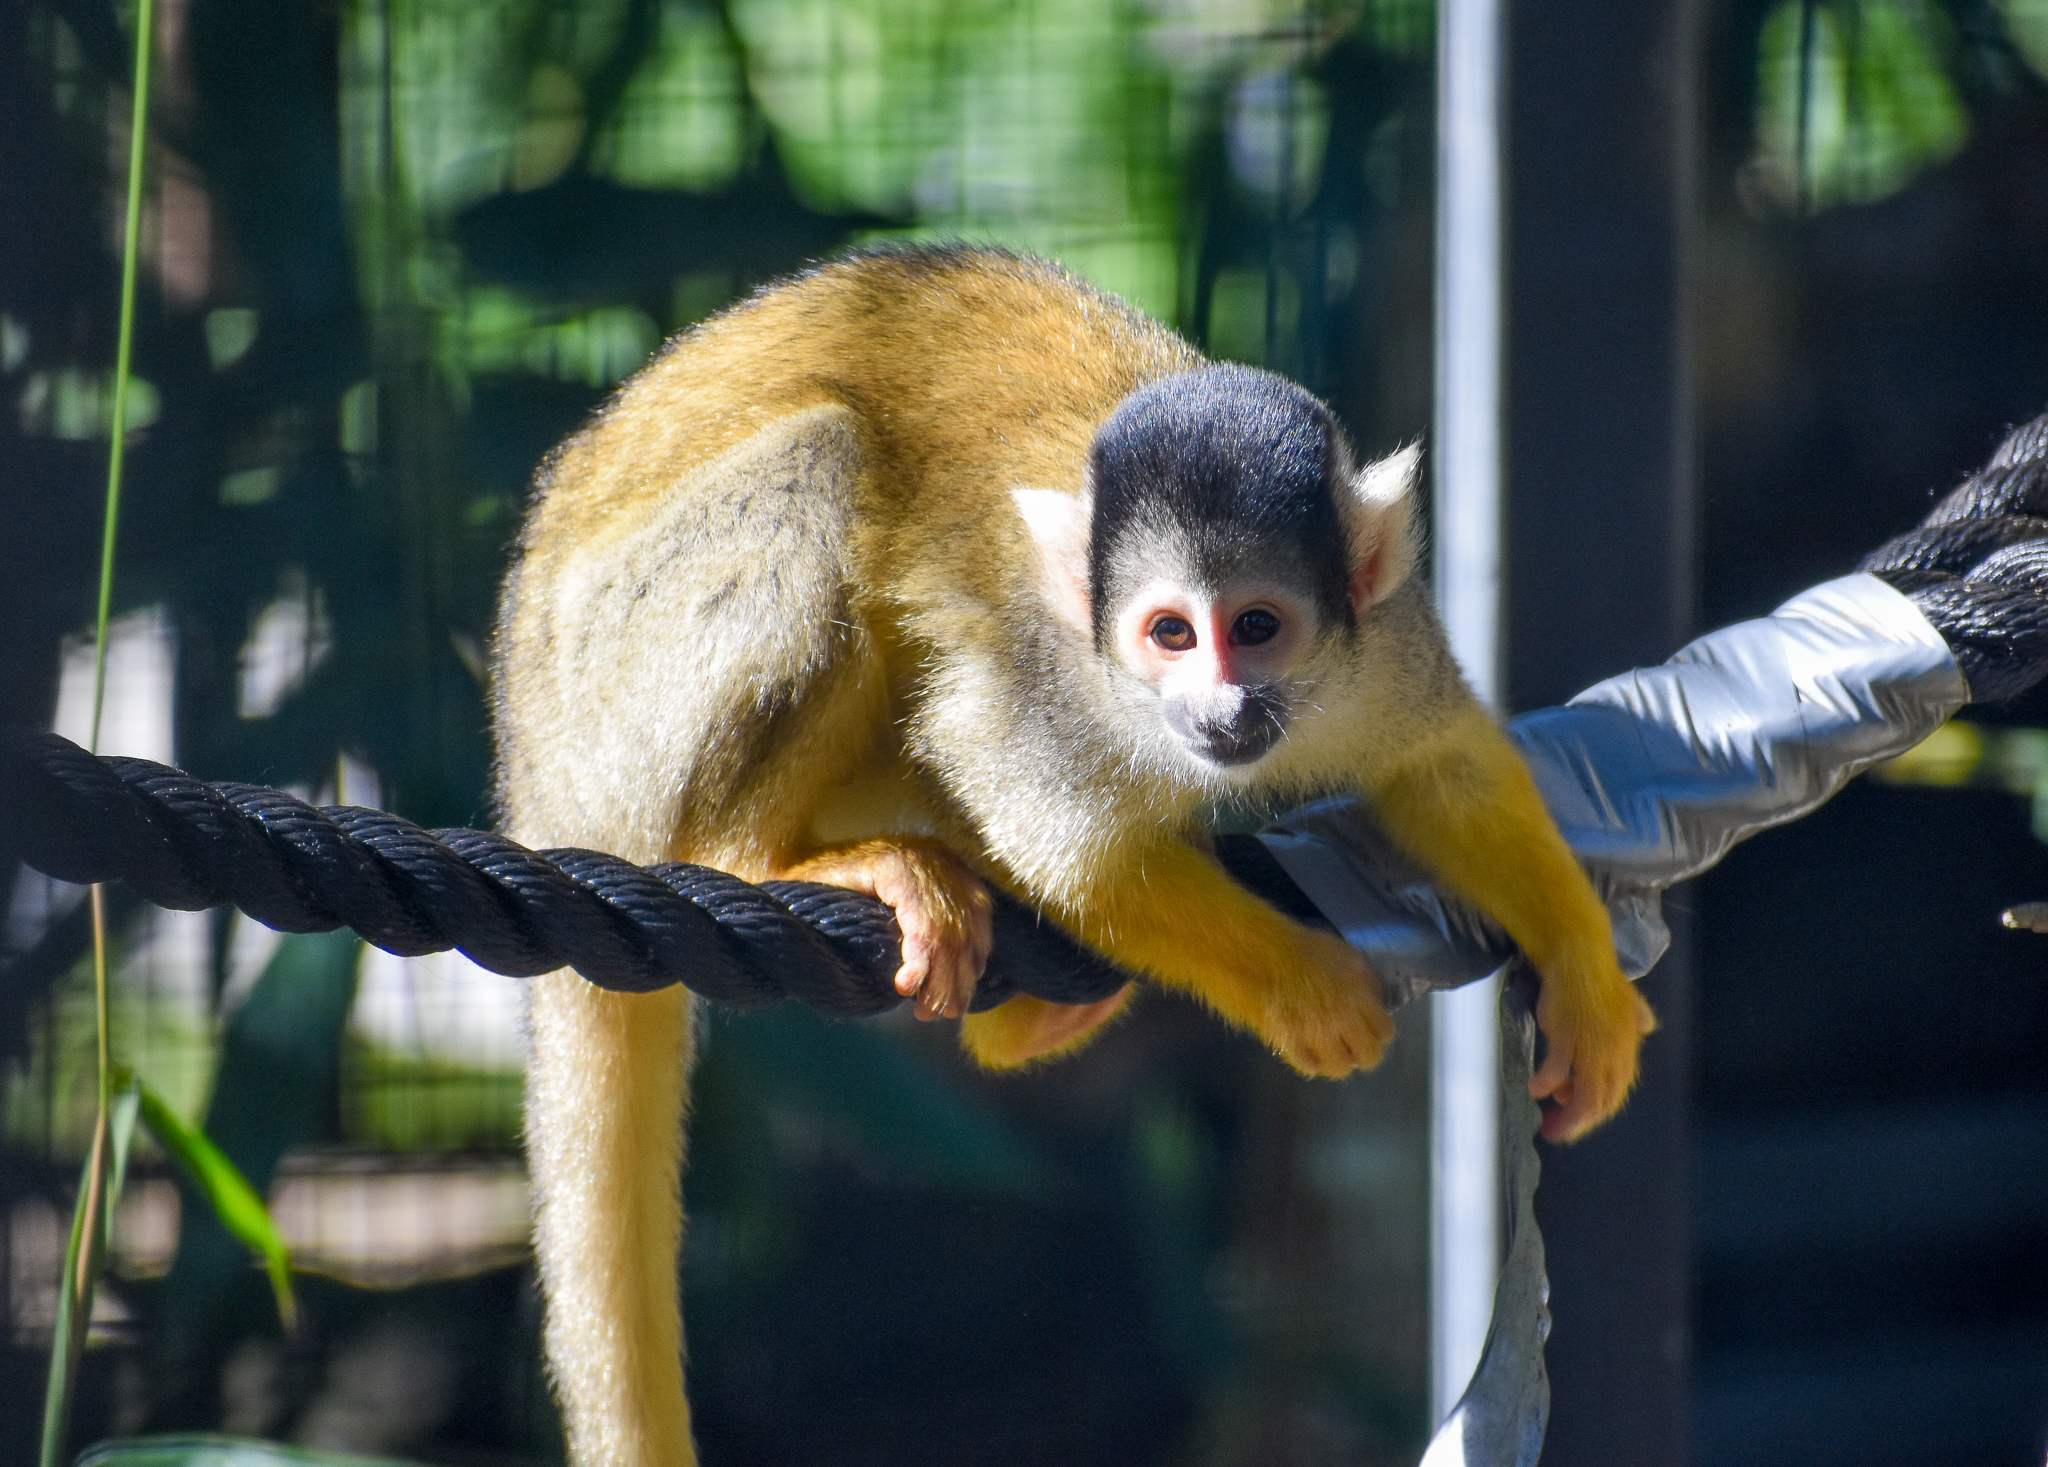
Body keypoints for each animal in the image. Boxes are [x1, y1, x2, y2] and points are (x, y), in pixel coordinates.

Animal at [492, 244, 1655, 1466]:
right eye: (1168, 634)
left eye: (1255, 627)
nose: (1219, 712)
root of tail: (532, 766)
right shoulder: (1037, 678)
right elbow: (1069, 842)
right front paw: (1308, 991)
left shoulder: (1379, 631)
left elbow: (1438, 766)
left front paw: (1581, 974)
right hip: (616, 697)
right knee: (826, 464)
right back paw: (766, 856)